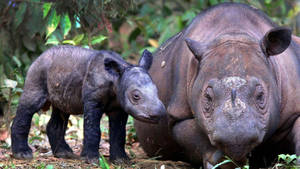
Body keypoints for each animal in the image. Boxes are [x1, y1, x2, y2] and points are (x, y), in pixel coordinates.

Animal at [10, 45, 165, 163]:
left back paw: (64, 154)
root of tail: (39, 56)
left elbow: (119, 132)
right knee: (30, 105)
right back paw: (23, 155)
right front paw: (91, 160)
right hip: (38, 71)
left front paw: (121, 161)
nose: (158, 114)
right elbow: (93, 128)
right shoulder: (93, 100)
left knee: (62, 110)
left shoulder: (119, 107)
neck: (116, 79)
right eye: (136, 96)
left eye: (157, 91)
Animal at [135, 2, 300, 169]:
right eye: (207, 98)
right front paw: (224, 162)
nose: (237, 140)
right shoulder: (178, 115)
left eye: (261, 96)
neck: (233, 32)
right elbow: (194, 136)